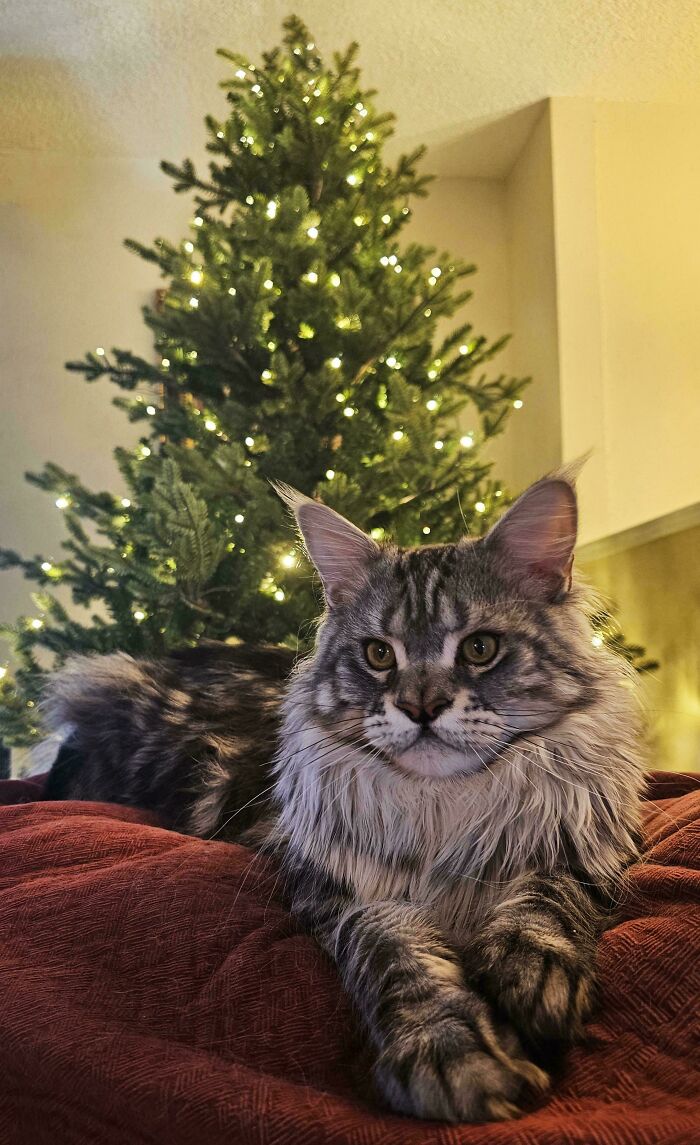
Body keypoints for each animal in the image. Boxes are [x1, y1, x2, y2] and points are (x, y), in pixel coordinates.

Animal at [45, 469, 646, 1122]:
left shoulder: (593, 846)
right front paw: (450, 1055)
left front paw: (533, 974)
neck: (444, 806)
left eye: (479, 649)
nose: (420, 707)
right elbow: (399, 955)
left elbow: (547, 899)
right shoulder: (343, 891)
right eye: (379, 654)